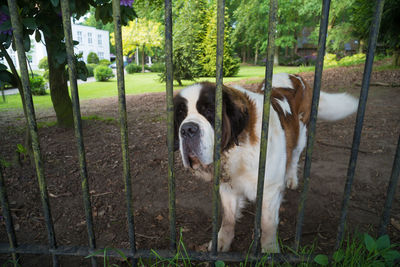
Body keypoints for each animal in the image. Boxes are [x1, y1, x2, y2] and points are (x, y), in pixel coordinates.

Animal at [173, 73, 358, 253]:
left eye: (210, 110)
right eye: (181, 115)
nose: (187, 129)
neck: (238, 147)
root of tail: (295, 75)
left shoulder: (270, 190)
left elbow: (267, 224)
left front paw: (269, 250)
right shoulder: (228, 186)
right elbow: (228, 218)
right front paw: (222, 241)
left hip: (301, 134)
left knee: (294, 157)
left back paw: (291, 178)